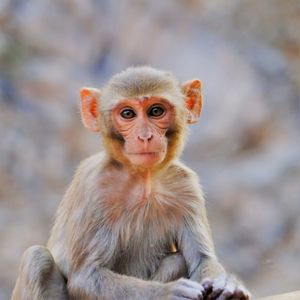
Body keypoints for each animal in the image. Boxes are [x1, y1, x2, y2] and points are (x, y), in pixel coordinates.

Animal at [11, 67, 251, 298]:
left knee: (177, 260)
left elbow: (202, 259)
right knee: (37, 259)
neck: (143, 181)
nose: (145, 136)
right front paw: (168, 292)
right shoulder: (94, 189)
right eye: (128, 114)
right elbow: (86, 276)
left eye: (156, 111)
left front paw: (227, 284)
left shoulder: (186, 186)